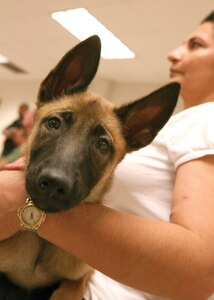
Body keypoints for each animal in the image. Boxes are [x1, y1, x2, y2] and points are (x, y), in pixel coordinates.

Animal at [0, 36, 181, 298]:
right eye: (53, 123)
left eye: (103, 145)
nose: (54, 184)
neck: (42, 244)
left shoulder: (80, 278)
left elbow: (68, 291)